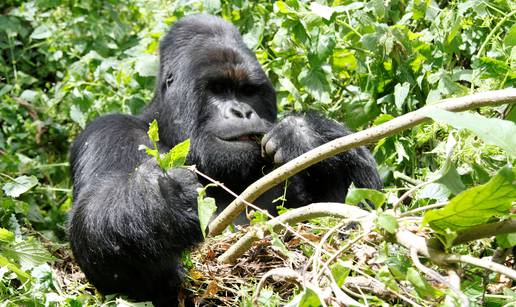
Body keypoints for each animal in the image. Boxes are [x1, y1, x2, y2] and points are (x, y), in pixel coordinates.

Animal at [68, 13, 380, 306]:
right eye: (217, 89)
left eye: (248, 92)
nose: (242, 111)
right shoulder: (107, 132)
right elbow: (102, 247)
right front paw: (160, 198)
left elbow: (355, 220)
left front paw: (304, 134)